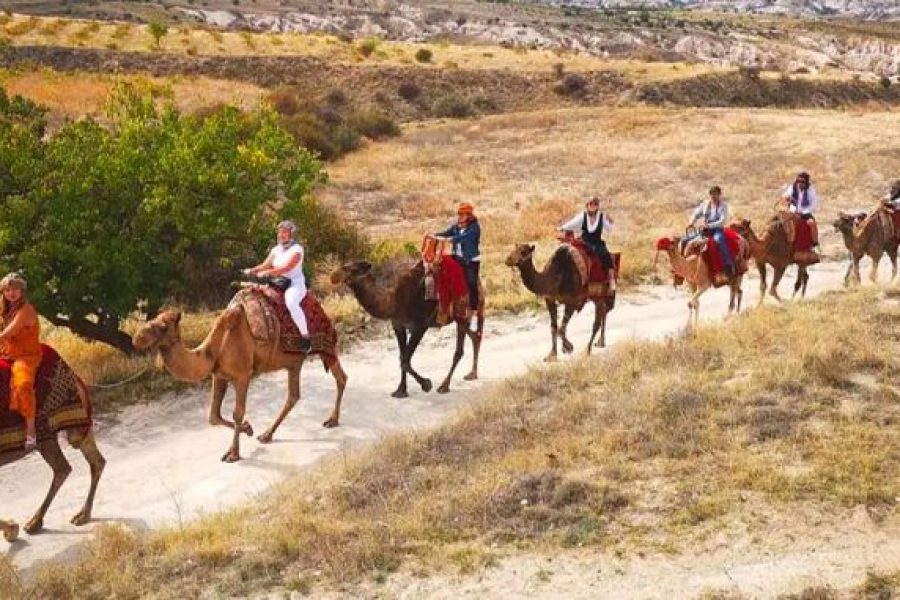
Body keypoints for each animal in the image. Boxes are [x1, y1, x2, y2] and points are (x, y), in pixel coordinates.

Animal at [0, 378, 105, 536]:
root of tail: (78, 379)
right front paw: (10, 528)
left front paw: (11, 529)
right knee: (95, 461)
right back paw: (82, 515)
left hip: (54, 429)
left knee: (64, 467)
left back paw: (36, 522)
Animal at [132, 308, 346, 462]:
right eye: (150, 320)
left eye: (161, 326)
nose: (136, 339)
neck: (215, 349)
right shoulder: (219, 376)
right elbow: (213, 416)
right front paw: (248, 429)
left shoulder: (242, 376)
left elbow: (237, 412)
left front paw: (233, 453)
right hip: (294, 362)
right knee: (294, 395)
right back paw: (267, 435)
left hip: (325, 347)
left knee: (340, 377)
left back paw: (331, 420)